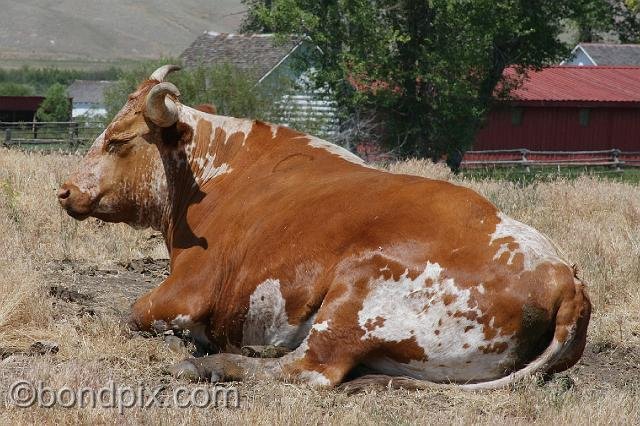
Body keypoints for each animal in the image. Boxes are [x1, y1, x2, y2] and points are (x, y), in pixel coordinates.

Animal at [58, 65, 591, 390]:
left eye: (118, 141)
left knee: (310, 368)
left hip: (355, 293)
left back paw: (210, 363)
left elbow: (132, 313)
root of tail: (561, 276)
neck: (214, 172)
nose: (65, 190)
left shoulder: (189, 288)